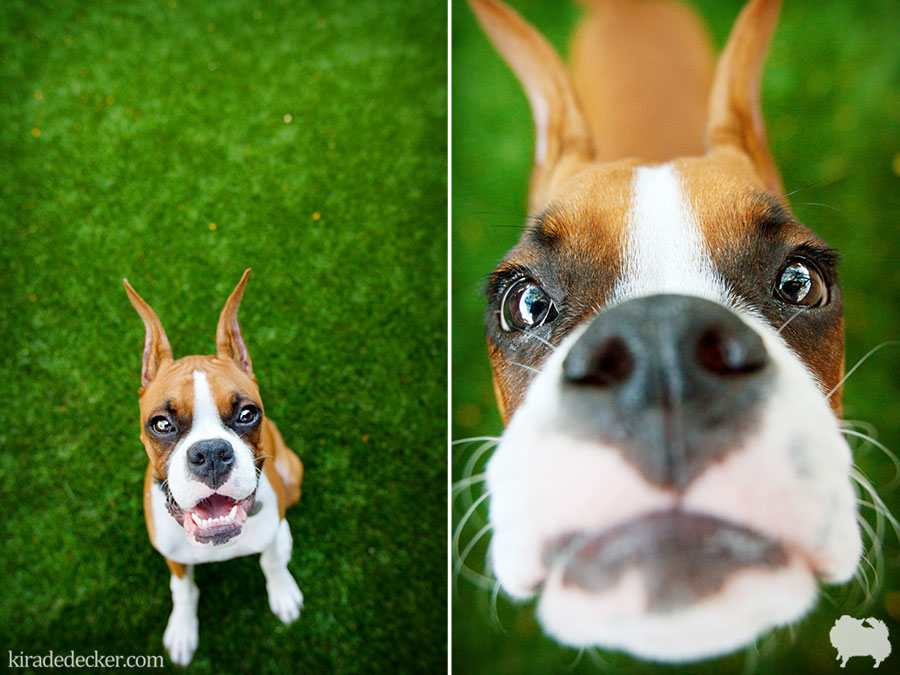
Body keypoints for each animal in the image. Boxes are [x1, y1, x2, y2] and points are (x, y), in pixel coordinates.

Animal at [123, 270, 306, 664]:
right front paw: (182, 629)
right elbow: (184, 590)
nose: (210, 454)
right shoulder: (173, 557)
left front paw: (283, 592)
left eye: (247, 414)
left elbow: (272, 562)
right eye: (162, 424)